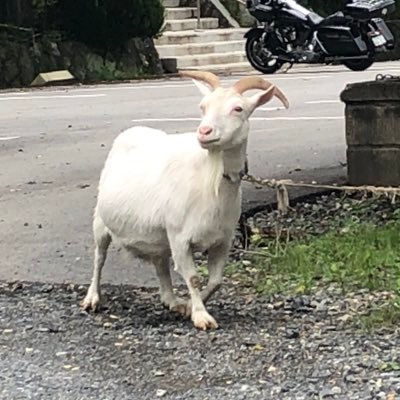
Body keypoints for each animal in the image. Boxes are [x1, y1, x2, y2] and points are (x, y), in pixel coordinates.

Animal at [82, 70, 288, 330]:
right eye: (203, 106)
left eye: (238, 108)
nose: (205, 132)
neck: (210, 180)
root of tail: (132, 132)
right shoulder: (180, 238)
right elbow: (193, 277)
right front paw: (201, 316)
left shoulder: (223, 240)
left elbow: (216, 280)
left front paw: (190, 307)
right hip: (101, 222)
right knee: (99, 257)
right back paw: (92, 298)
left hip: (158, 235)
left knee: (160, 263)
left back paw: (172, 301)